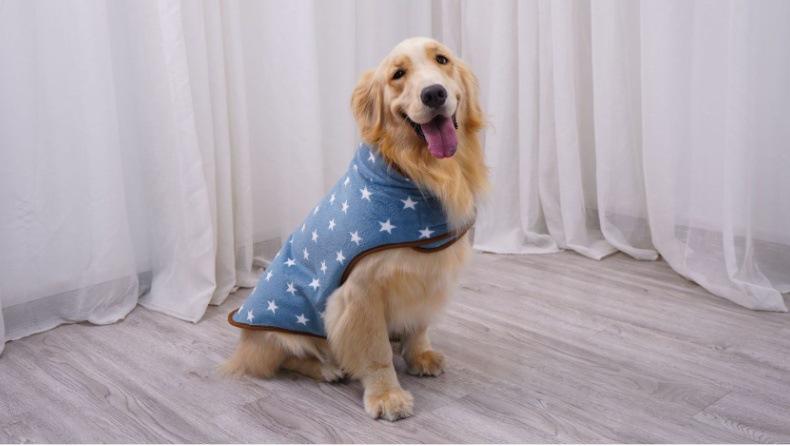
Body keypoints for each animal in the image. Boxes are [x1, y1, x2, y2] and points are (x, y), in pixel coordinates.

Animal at [222, 37, 488, 421]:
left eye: (442, 60)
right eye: (397, 75)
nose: (434, 94)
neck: (415, 173)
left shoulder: (425, 275)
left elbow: (419, 324)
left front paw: (418, 354)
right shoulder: (360, 292)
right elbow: (375, 352)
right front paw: (387, 395)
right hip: (281, 324)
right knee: (281, 358)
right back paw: (327, 368)